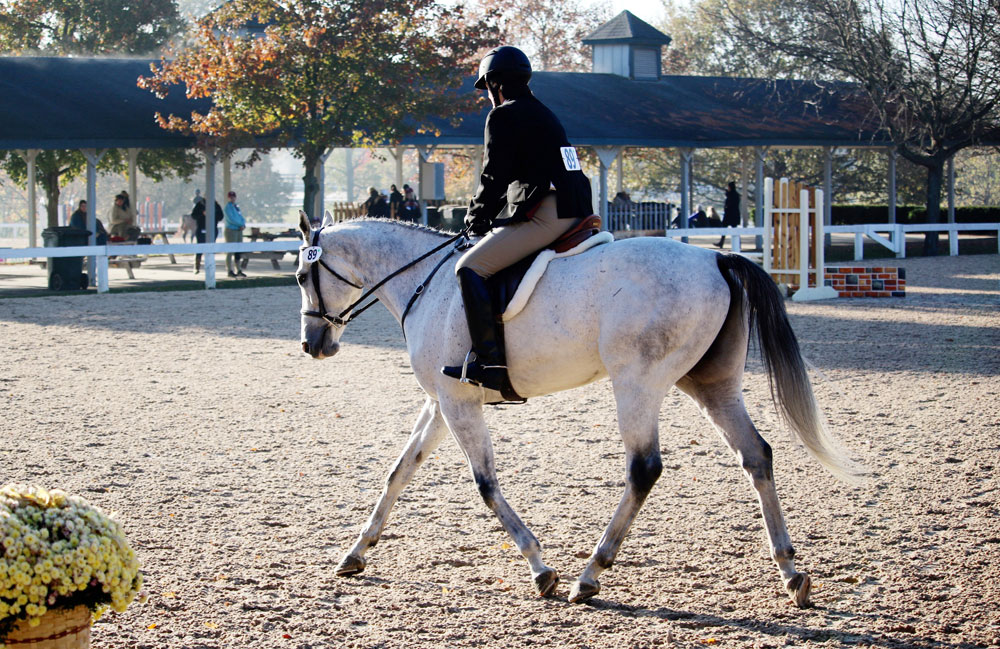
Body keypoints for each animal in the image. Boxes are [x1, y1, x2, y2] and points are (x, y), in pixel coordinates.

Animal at [296, 213, 860, 608]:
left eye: (303, 275)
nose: (311, 345)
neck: (425, 283)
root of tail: (715, 261)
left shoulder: (457, 402)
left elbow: (485, 485)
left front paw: (540, 569)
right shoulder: (442, 402)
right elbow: (399, 472)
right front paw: (356, 552)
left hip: (637, 383)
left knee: (644, 468)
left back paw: (590, 574)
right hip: (711, 384)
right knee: (756, 455)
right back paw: (791, 572)